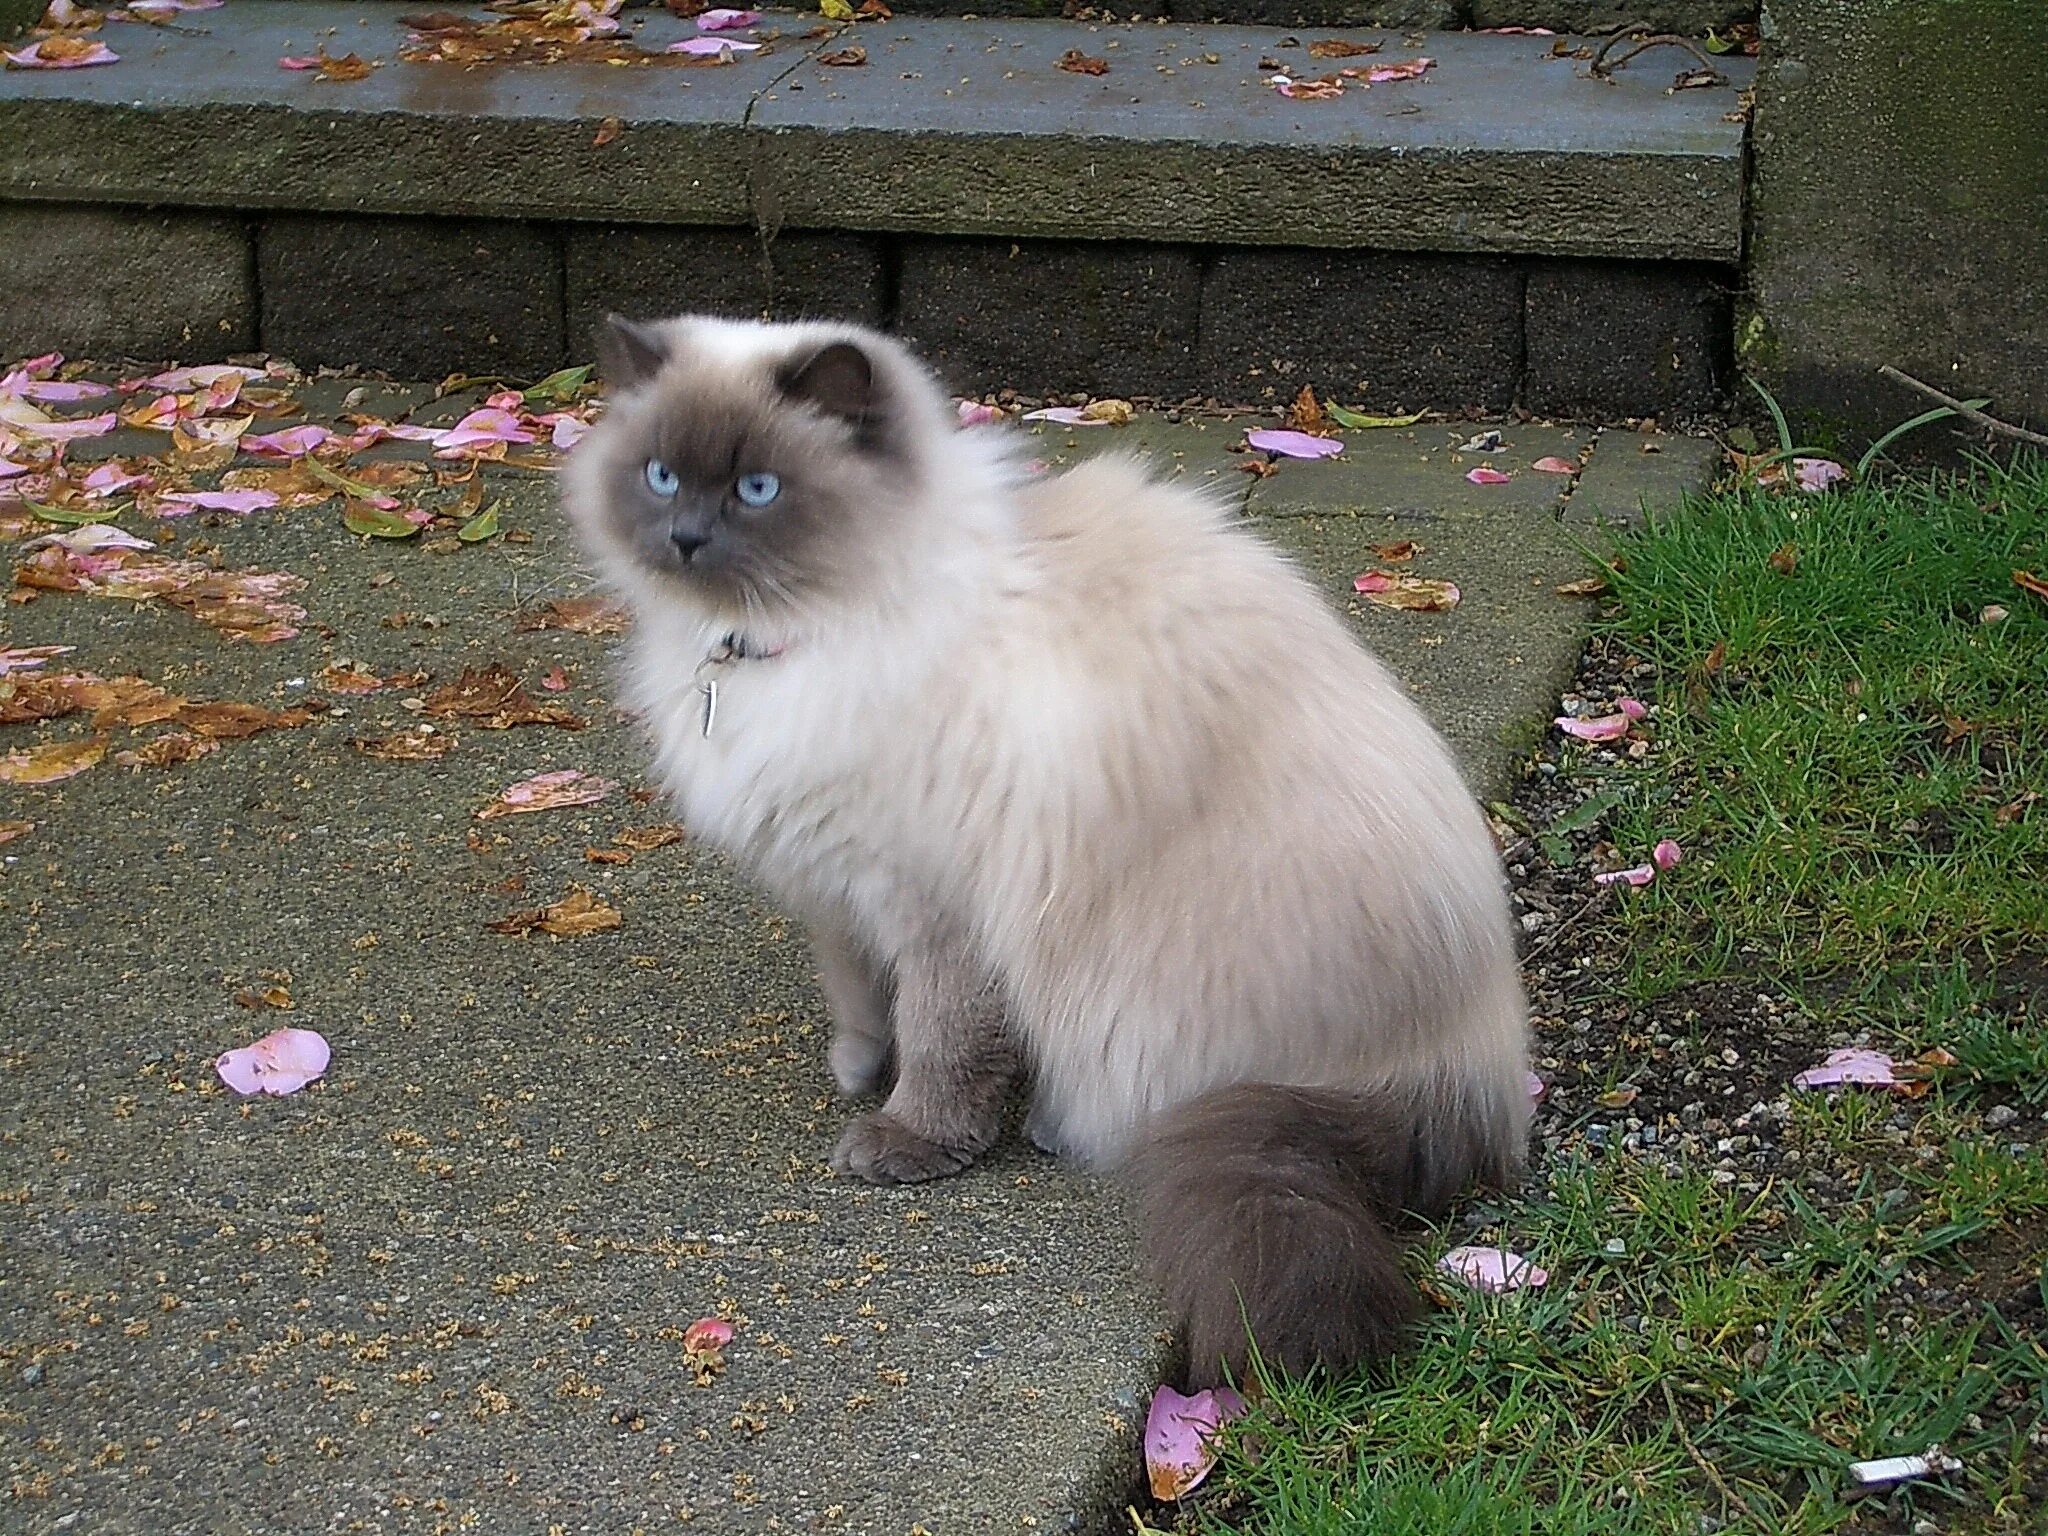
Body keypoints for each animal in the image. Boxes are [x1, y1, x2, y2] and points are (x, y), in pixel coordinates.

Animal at [569, 319, 1531, 1392]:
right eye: (660, 477)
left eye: (758, 489)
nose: (686, 539)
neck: (780, 643)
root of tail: (1472, 1078)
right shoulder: (837, 883)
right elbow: (858, 994)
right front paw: (857, 1068)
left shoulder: (938, 904)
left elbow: (943, 1039)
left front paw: (905, 1137)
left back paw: (1053, 1124)